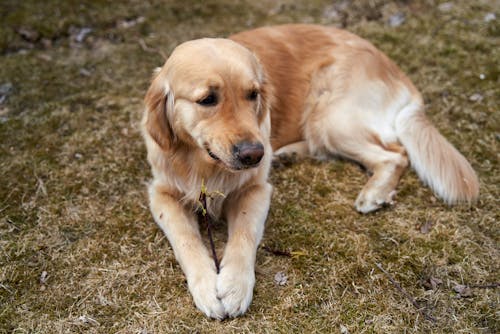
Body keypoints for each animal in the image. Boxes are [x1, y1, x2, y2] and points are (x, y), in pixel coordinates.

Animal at [140, 24, 476, 318]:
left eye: (253, 95)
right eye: (207, 99)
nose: (254, 155)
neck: (205, 166)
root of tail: (396, 70)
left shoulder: (256, 189)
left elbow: (244, 235)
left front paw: (235, 286)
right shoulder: (162, 193)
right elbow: (186, 240)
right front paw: (208, 287)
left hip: (330, 117)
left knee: (396, 154)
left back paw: (373, 193)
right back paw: (285, 154)